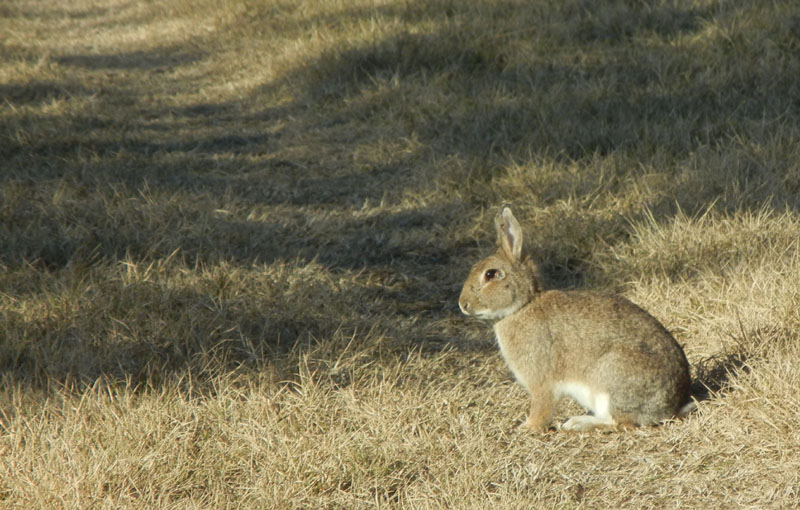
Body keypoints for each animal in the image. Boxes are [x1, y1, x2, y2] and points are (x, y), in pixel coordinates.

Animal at [456, 206, 692, 430]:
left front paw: (527, 427)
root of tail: (672, 405)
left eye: (491, 274)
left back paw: (577, 424)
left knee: (621, 422)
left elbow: (541, 406)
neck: (523, 306)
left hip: (610, 378)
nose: (463, 304)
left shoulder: (542, 381)